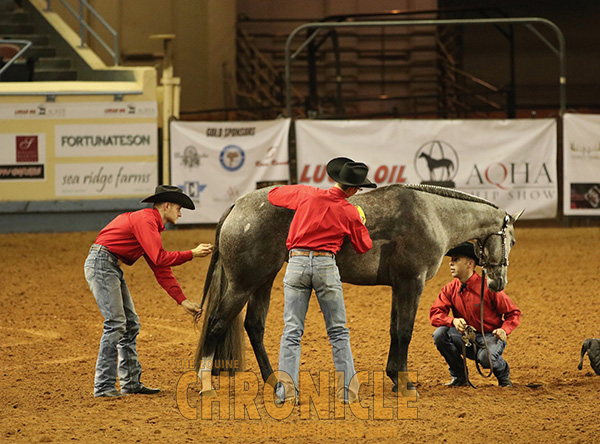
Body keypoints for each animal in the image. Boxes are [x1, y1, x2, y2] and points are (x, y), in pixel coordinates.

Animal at [196, 186, 520, 394]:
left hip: (263, 280)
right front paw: (405, 383)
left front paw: (394, 377)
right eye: (512, 241)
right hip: (244, 284)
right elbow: (405, 332)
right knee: (216, 324)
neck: (432, 215)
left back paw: (274, 381)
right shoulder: (411, 284)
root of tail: (238, 205)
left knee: (254, 326)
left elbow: (394, 331)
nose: (498, 283)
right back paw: (206, 384)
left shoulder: (398, 287)